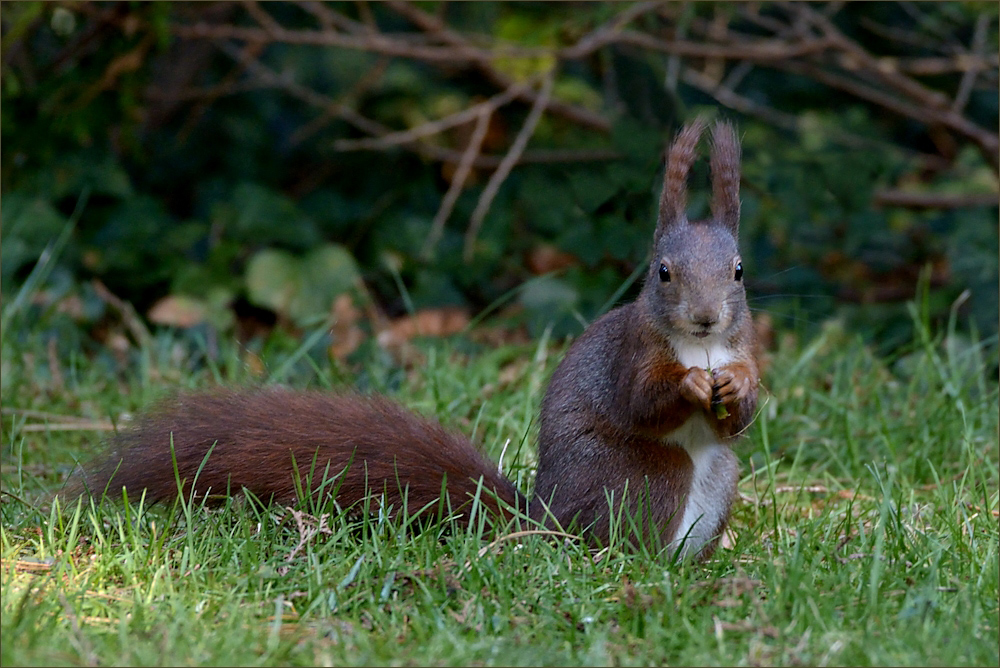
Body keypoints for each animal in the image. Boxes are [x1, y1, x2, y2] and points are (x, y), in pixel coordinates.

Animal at [72, 118, 756, 560]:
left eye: (739, 270)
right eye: (662, 272)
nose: (705, 318)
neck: (697, 344)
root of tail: (543, 521)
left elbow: (740, 417)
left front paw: (738, 386)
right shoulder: (631, 354)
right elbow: (641, 400)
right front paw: (690, 385)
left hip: (720, 476)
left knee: (716, 467)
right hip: (640, 478)